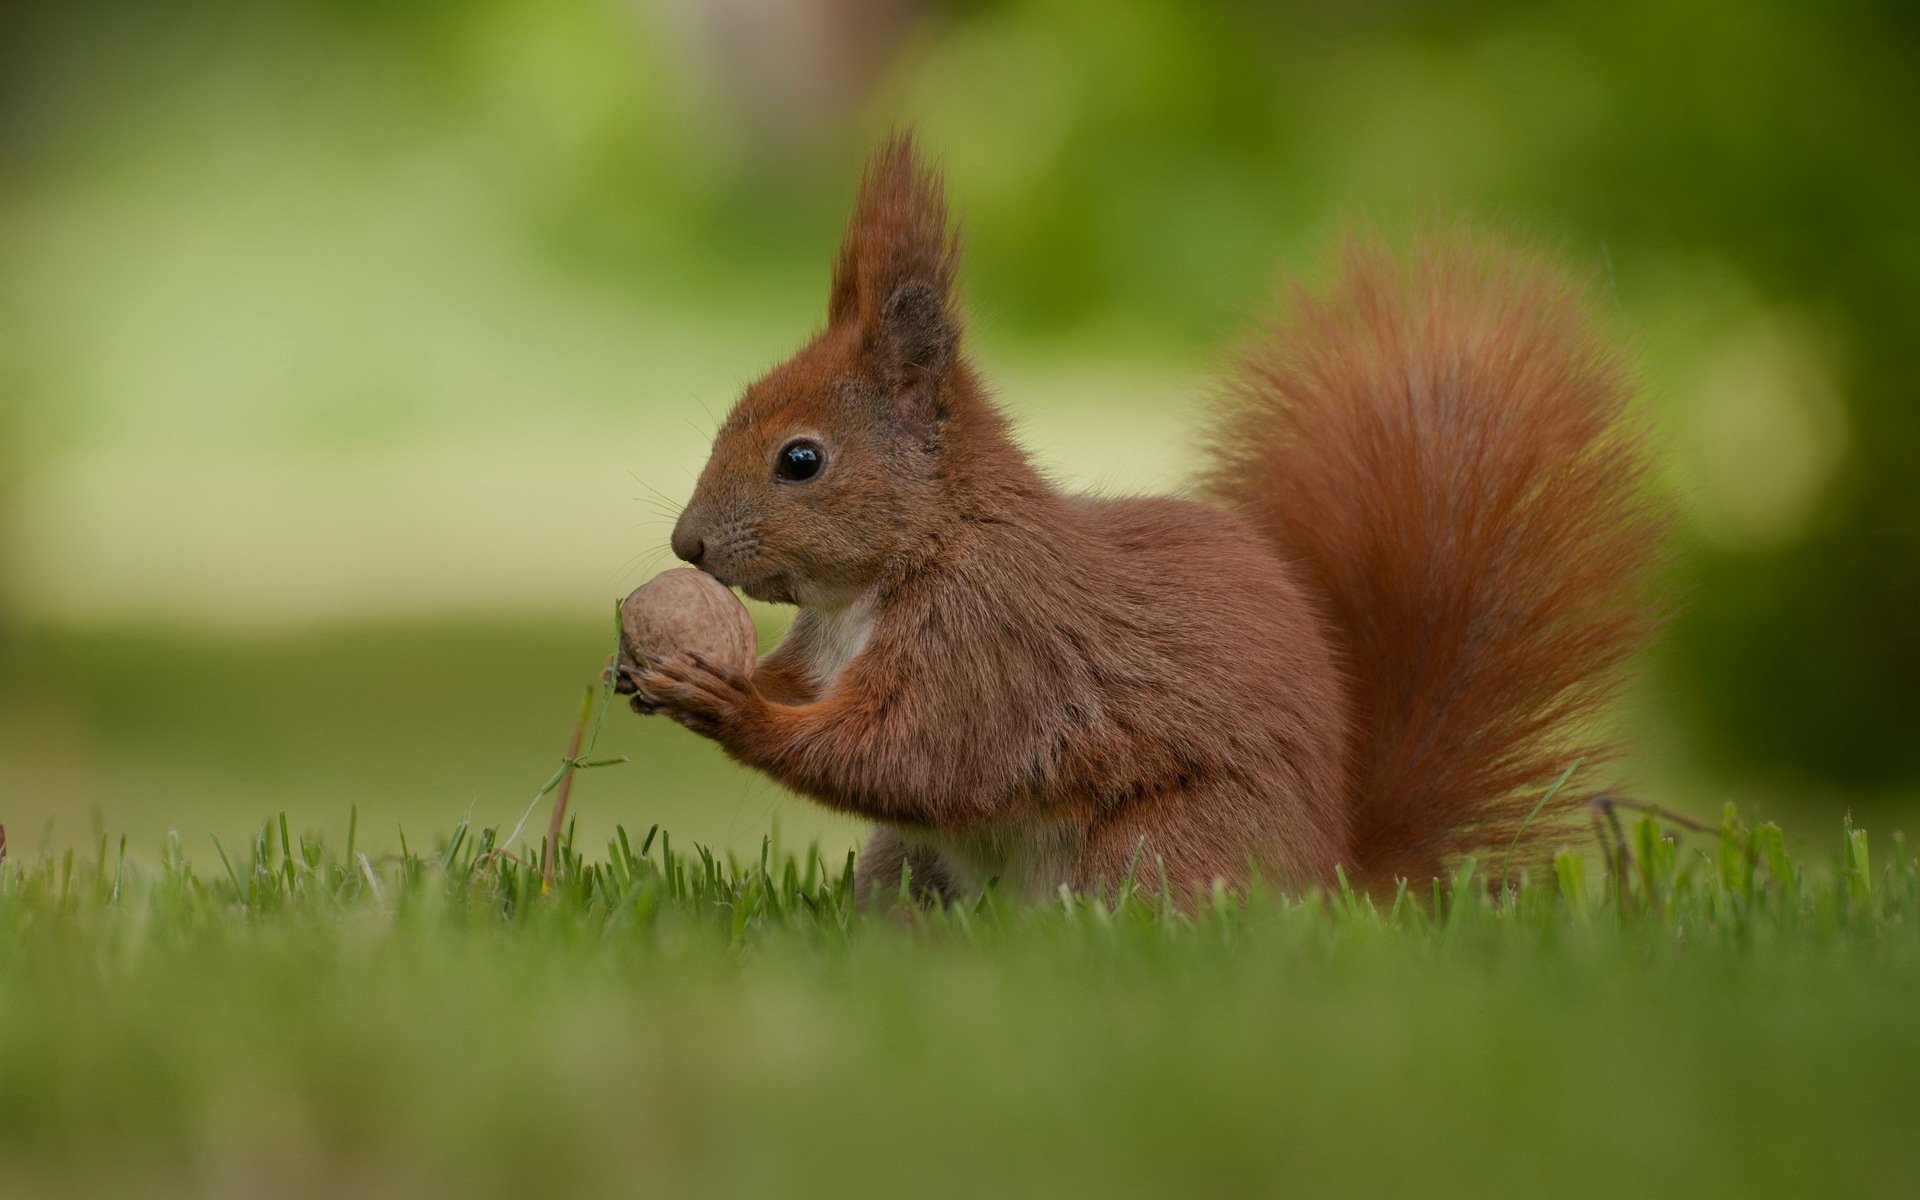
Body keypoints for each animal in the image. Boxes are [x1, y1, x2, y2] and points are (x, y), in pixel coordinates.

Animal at [618, 132, 1665, 905]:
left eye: (802, 460)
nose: (686, 545)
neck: (878, 582)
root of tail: (1333, 878)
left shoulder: (995, 645)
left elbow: (913, 757)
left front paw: (733, 706)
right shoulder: (833, 649)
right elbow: (817, 699)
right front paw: (655, 670)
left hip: (1158, 849)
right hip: (907, 866)